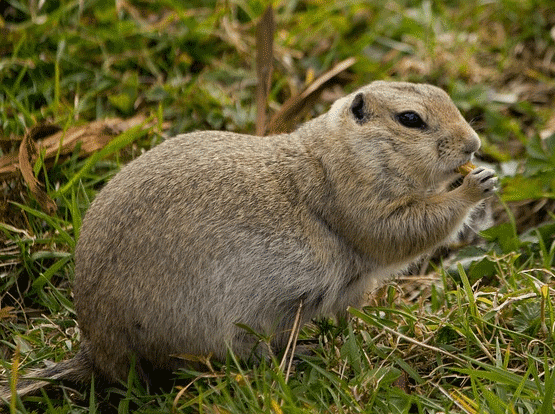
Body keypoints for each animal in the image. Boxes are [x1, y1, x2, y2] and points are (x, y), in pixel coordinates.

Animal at [1, 81, 500, 398]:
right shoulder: (358, 200)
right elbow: (401, 231)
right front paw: (475, 186)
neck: (336, 154)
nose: (474, 144)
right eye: (410, 119)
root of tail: (97, 348)